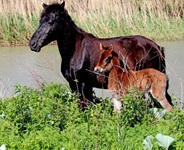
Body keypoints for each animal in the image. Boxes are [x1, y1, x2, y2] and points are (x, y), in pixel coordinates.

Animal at [29, 1, 167, 109]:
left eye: (51, 21)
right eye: (40, 20)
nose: (33, 44)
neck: (76, 51)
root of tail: (156, 47)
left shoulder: (84, 86)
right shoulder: (74, 85)